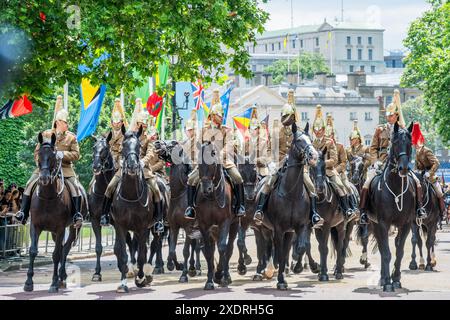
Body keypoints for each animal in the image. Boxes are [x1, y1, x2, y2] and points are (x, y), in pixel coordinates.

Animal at [24, 132, 88, 292]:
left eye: (53, 156)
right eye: (39, 155)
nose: (44, 178)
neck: (48, 197)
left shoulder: (60, 229)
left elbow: (56, 254)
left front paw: (53, 283)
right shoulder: (35, 226)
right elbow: (33, 251)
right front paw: (28, 282)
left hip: (72, 228)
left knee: (65, 249)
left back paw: (61, 278)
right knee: (63, 248)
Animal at [110, 125, 155, 292]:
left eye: (139, 146)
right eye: (123, 145)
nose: (132, 165)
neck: (130, 195)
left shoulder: (143, 227)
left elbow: (141, 254)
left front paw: (140, 278)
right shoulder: (120, 226)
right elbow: (122, 253)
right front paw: (123, 283)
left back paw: (145, 275)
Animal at [368, 121, 416, 292]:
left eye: (410, 143)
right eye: (394, 143)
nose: (403, 168)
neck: (395, 188)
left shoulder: (406, 224)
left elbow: (399, 251)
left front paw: (396, 280)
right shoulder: (383, 223)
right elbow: (386, 253)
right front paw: (388, 282)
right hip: (374, 224)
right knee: (383, 249)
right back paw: (383, 278)